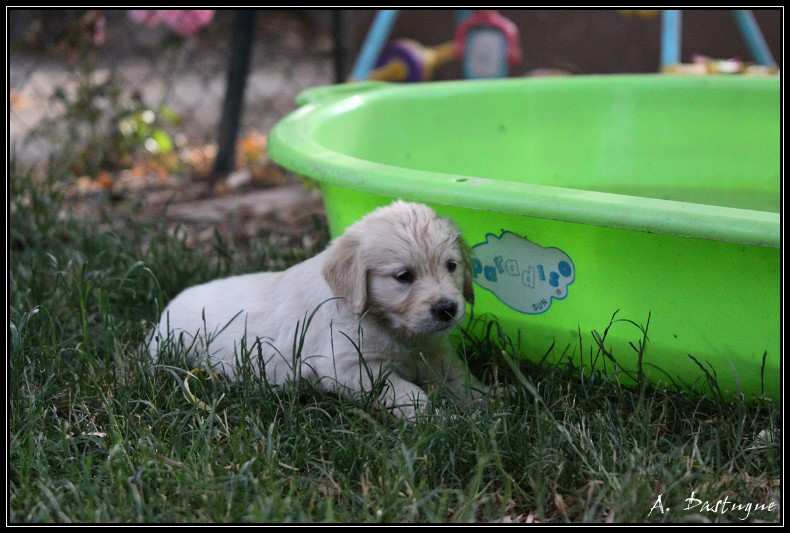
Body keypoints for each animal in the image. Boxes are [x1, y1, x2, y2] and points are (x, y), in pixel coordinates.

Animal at [150, 202, 482, 418]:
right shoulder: (350, 367)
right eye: (404, 276)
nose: (447, 309)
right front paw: (438, 419)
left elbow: (460, 378)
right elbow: (405, 393)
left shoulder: (434, 351)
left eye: (451, 266)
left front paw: (485, 404)